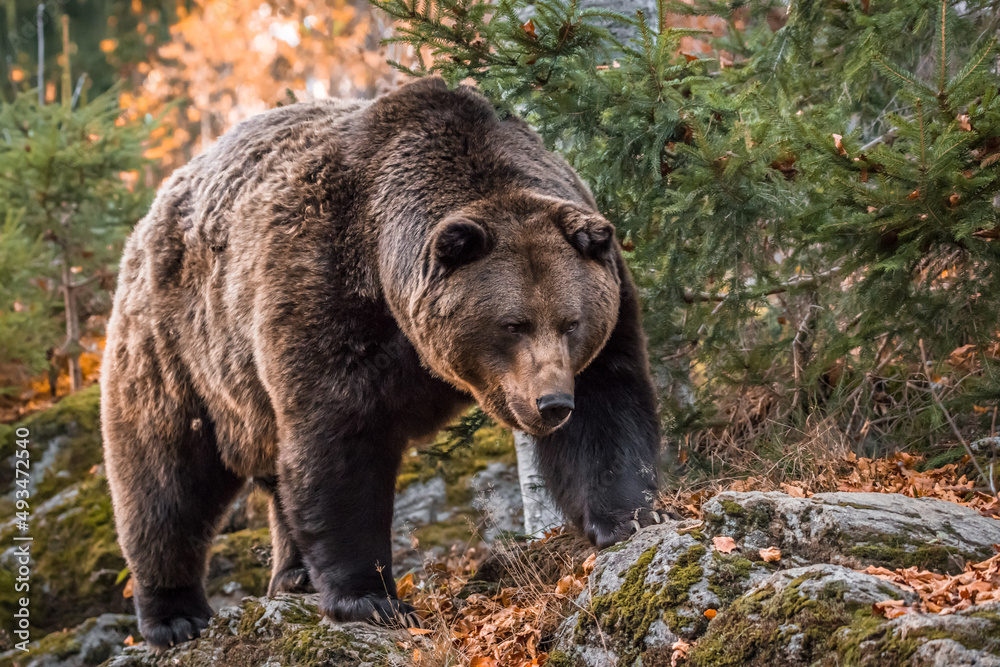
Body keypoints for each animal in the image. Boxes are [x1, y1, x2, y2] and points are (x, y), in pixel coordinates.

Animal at [103, 75, 664, 648]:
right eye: (513, 324)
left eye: (570, 322)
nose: (551, 403)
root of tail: (155, 208)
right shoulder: (328, 297)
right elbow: (339, 442)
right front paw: (371, 599)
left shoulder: (607, 303)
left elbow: (606, 406)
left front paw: (627, 517)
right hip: (181, 350)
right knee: (165, 477)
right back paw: (175, 615)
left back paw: (294, 575)